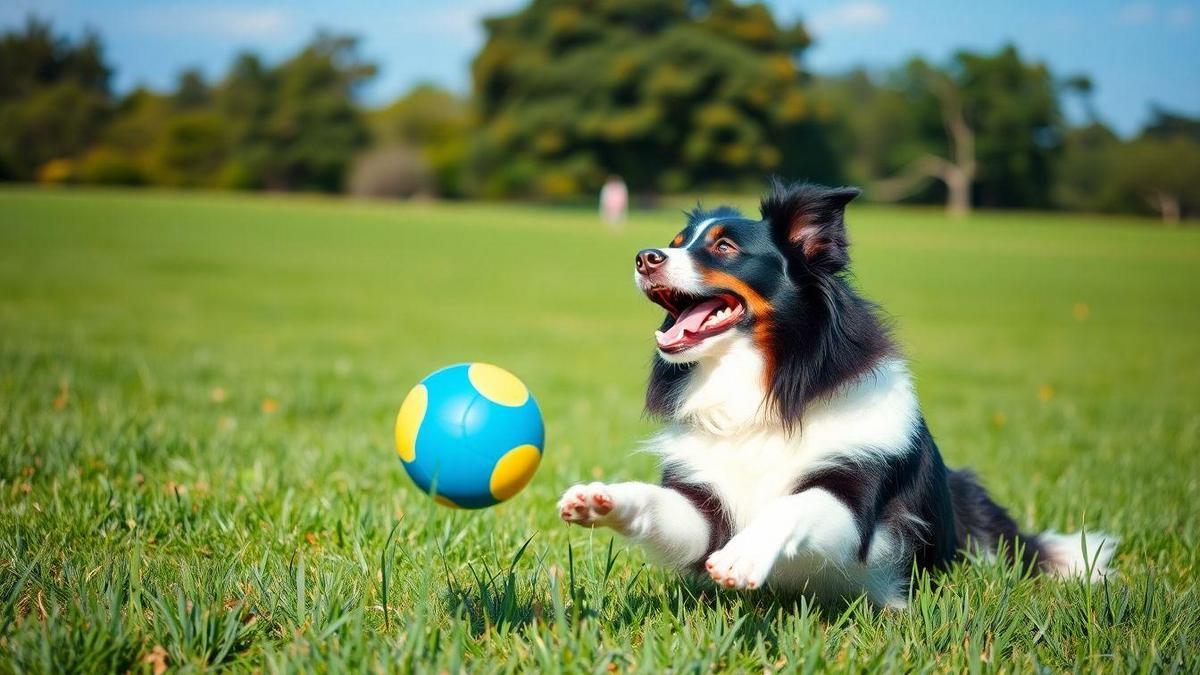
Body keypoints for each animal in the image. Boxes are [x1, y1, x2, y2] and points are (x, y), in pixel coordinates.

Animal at [556, 178, 1118, 605]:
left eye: (723, 247)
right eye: (676, 241)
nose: (644, 257)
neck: (759, 393)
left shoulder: (856, 505)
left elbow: (793, 505)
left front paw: (742, 557)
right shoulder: (705, 508)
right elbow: (657, 501)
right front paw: (599, 499)